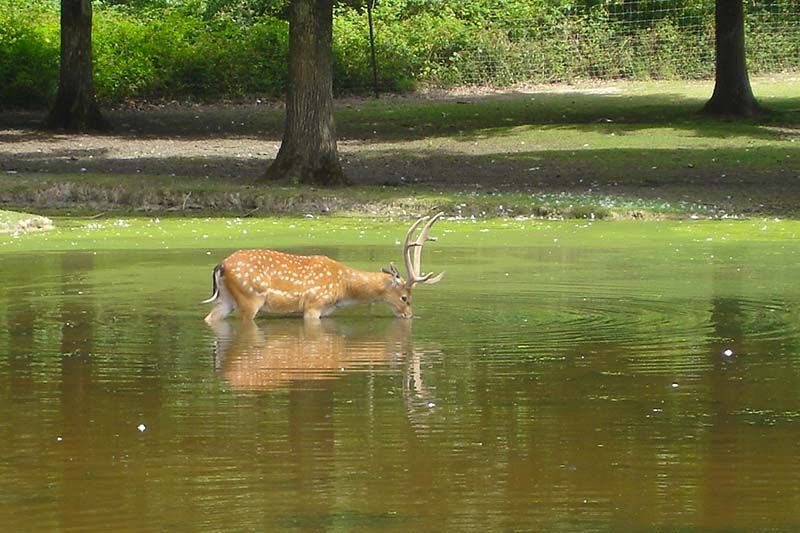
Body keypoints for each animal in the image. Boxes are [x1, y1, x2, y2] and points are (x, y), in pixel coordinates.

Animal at [203, 211, 446, 320]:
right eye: (405, 298)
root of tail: (220, 266)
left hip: (226, 299)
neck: (343, 289)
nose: (409, 316)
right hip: (250, 296)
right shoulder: (314, 303)